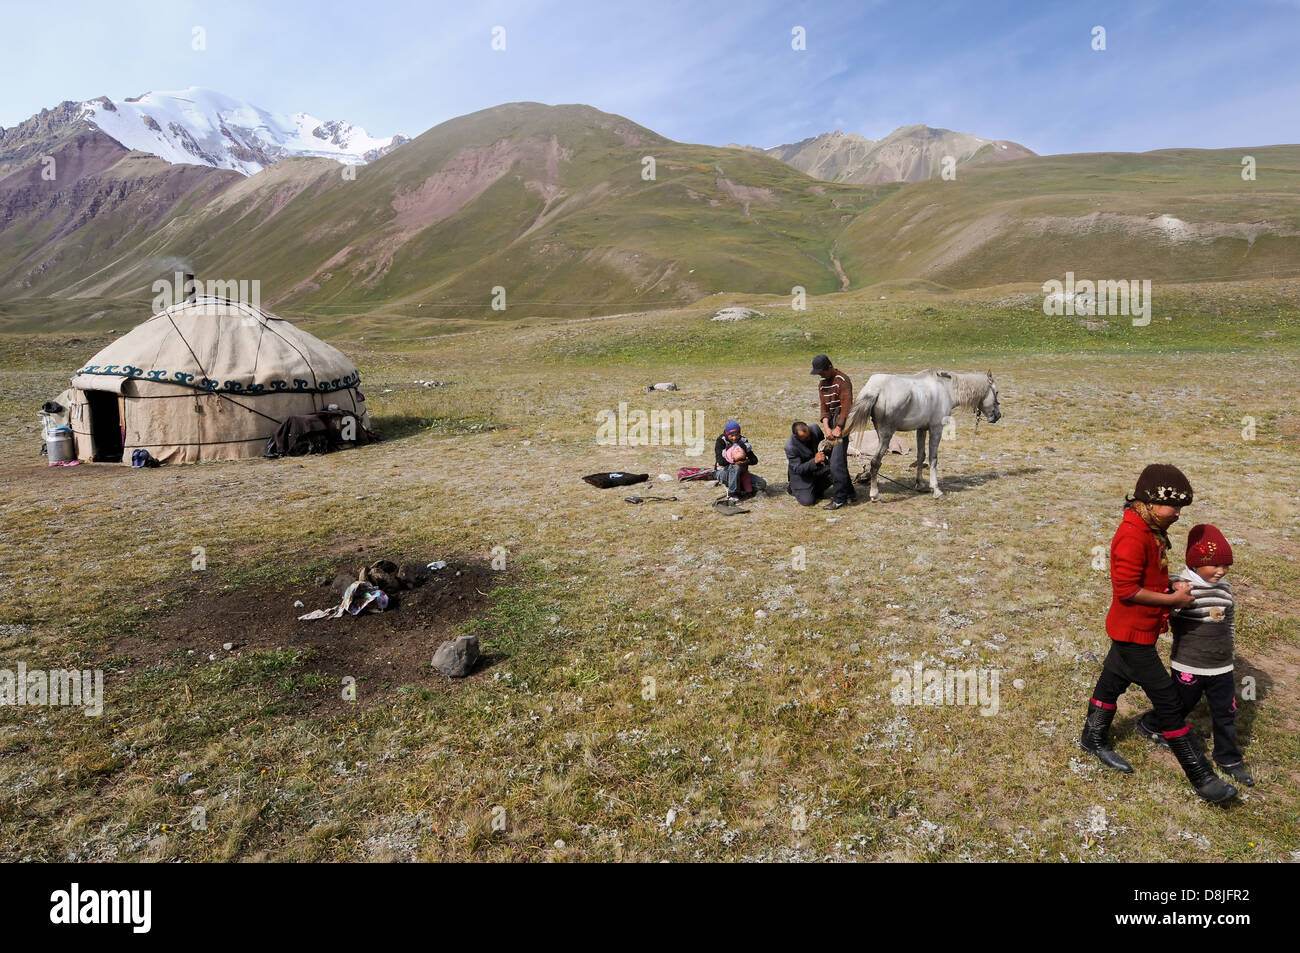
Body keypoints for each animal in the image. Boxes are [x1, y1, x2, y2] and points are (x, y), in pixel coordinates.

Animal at [842, 369, 1003, 501]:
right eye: (996, 392)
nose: (998, 416)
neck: (945, 389)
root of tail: (875, 389)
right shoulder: (936, 429)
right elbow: (933, 458)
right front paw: (936, 490)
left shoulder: (921, 429)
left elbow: (921, 456)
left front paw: (919, 484)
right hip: (886, 436)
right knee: (875, 462)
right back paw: (875, 495)